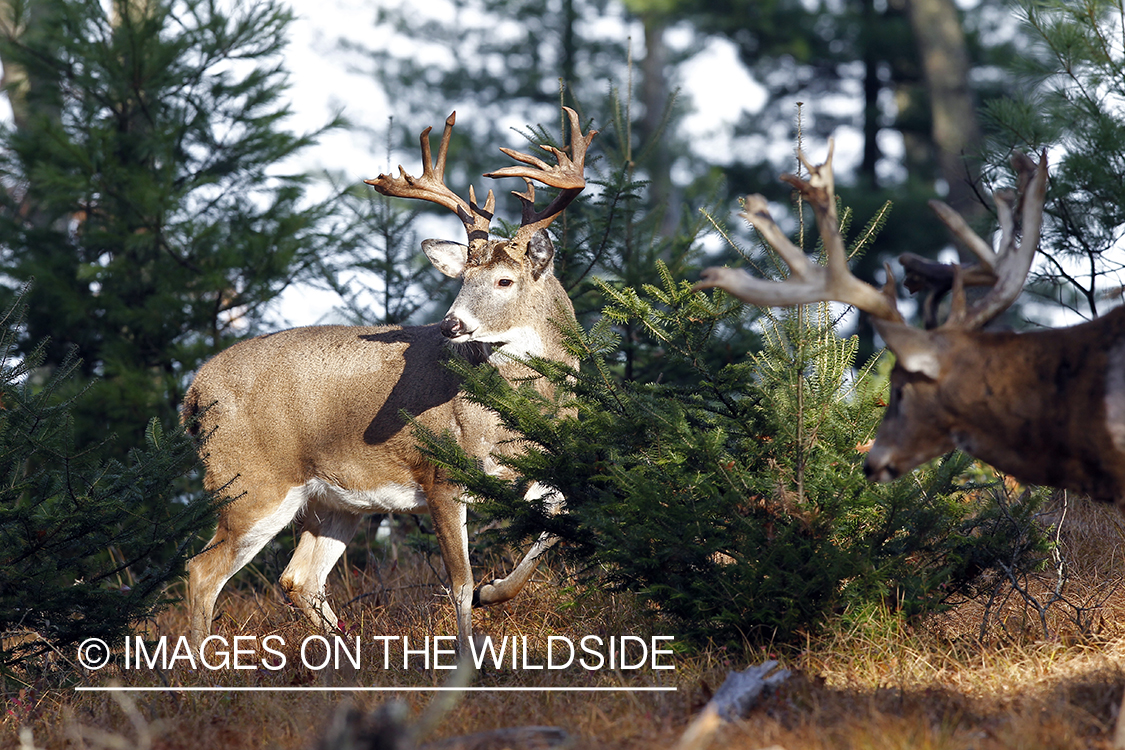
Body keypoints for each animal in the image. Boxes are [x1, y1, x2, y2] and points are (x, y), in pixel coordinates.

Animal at [184, 106, 598, 652]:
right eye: (462, 279)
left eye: (504, 280)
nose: (450, 325)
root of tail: (193, 393)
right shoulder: (443, 473)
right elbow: (458, 582)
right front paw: (467, 653)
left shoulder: (545, 471)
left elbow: (555, 530)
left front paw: (494, 591)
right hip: (251, 483)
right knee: (202, 570)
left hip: (334, 500)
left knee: (298, 578)